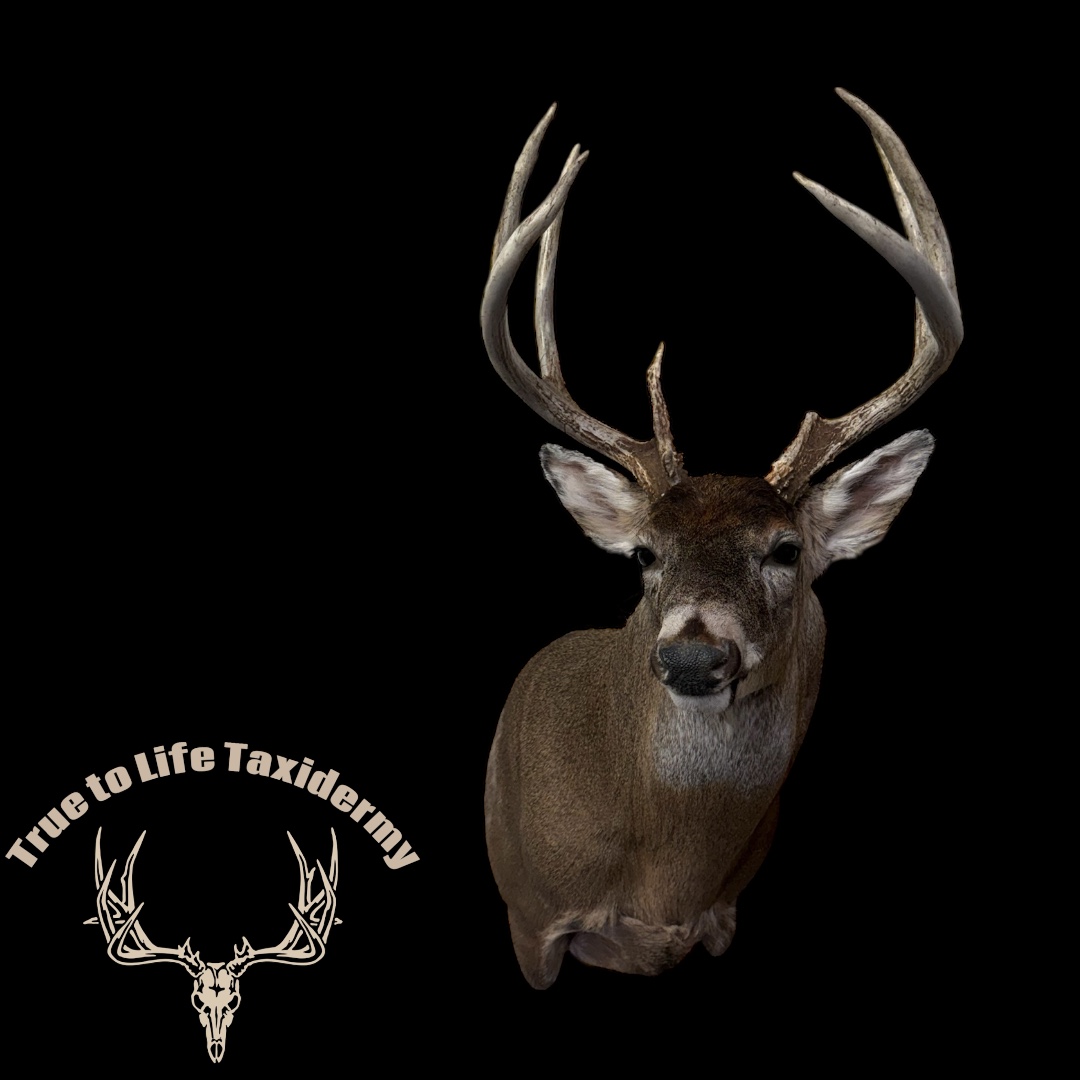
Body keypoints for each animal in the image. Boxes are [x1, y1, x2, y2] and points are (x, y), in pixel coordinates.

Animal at [481, 89, 962, 989]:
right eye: (643, 554)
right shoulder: (530, 919)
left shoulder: (723, 918)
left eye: (785, 550)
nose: (691, 656)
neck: (665, 880)